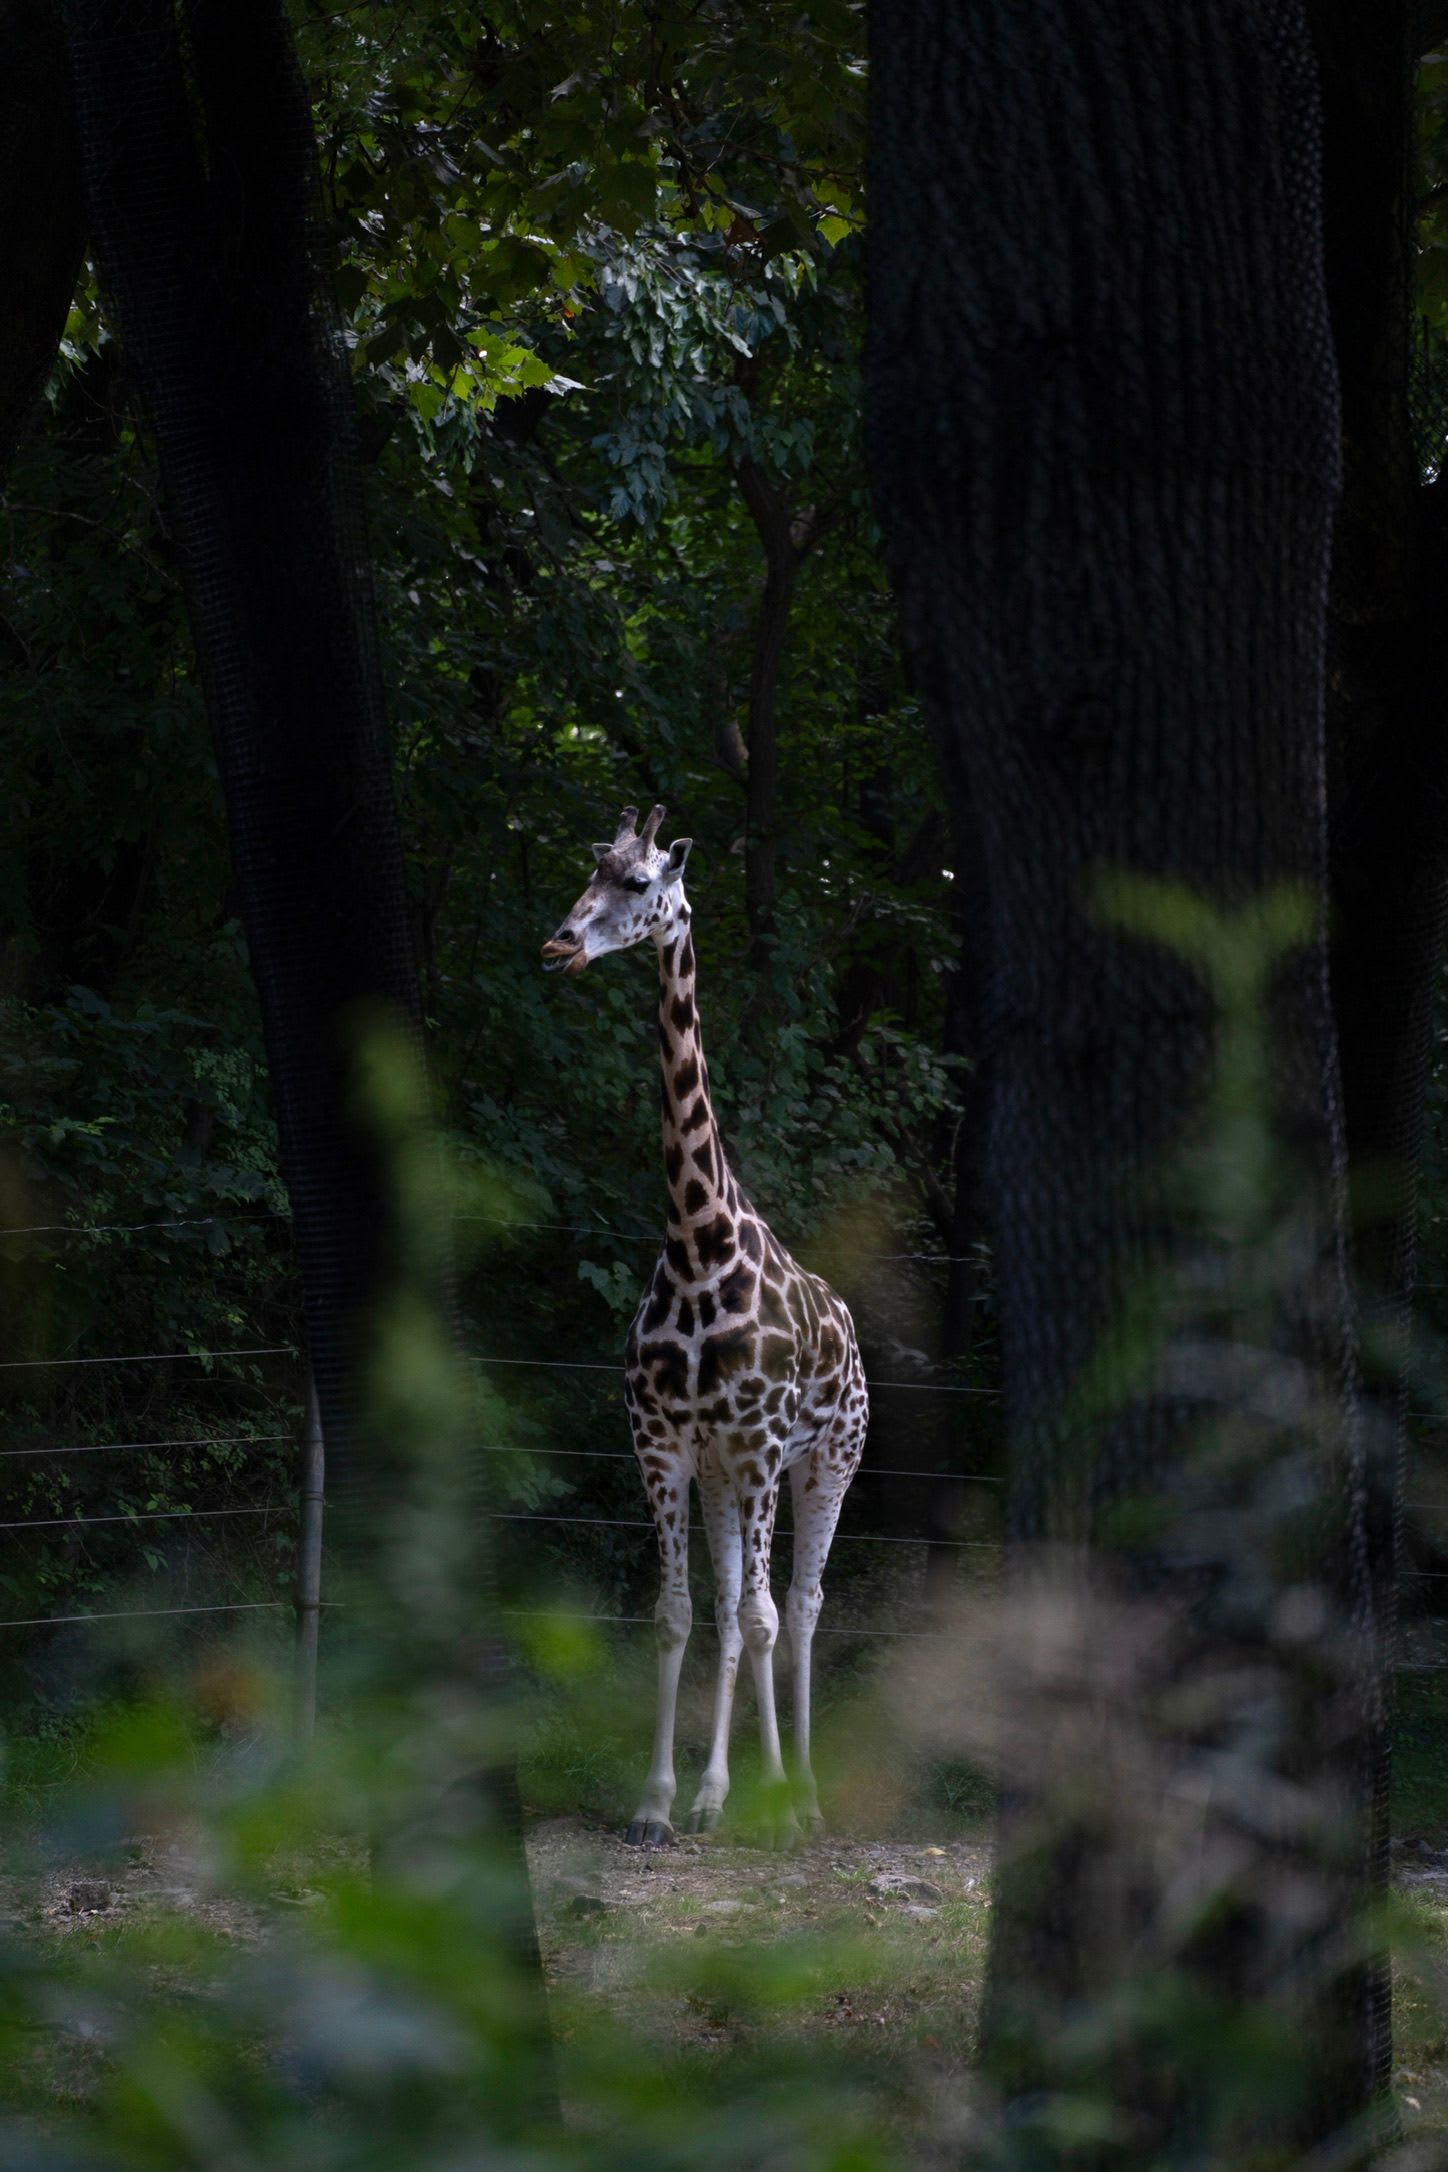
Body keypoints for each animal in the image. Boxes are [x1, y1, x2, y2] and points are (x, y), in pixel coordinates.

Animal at [542, 803, 869, 1847]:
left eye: (643, 884)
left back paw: (804, 1790)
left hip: (828, 1457)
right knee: (737, 1603)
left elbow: (762, 1617)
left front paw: (771, 1798)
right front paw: (662, 1801)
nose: (562, 942)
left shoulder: (763, 1447)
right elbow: (680, 1615)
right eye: (588, 872)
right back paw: (725, 1792)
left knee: (799, 1605)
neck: (697, 1243)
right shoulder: (663, 1443)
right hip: (726, 1474)